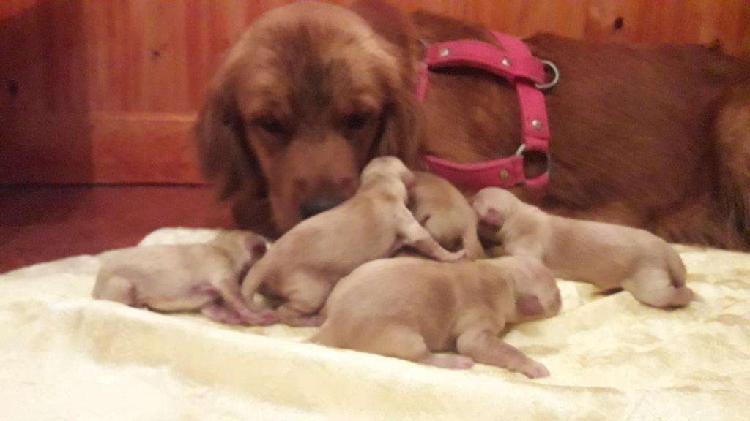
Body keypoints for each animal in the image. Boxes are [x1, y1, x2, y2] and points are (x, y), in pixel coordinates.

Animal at [91, 230, 274, 324]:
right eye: (264, 250)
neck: (220, 247)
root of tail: (94, 291)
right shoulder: (224, 278)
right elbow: (240, 301)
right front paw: (258, 315)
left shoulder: (209, 303)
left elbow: (216, 311)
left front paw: (235, 318)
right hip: (123, 286)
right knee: (122, 302)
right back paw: (141, 307)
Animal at [242, 157, 464, 324]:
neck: (376, 188)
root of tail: (265, 263)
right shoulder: (411, 227)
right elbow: (432, 244)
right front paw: (455, 255)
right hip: (310, 292)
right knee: (285, 313)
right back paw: (309, 320)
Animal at [312, 254, 564, 378]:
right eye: (556, 298)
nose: (563, 301)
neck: (502, 275)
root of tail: (330, 326)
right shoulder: (477, 332)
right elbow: (505, 350)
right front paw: (532, 365)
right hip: (405, 338)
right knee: (421, 358)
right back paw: (453, 361)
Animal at [472, 189, 696, 306]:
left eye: (474, 202)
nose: (468, 196)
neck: (516, 212)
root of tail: (667, 250)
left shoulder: (527, 247)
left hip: (648, 278)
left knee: (668, 295)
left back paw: (686, 294)